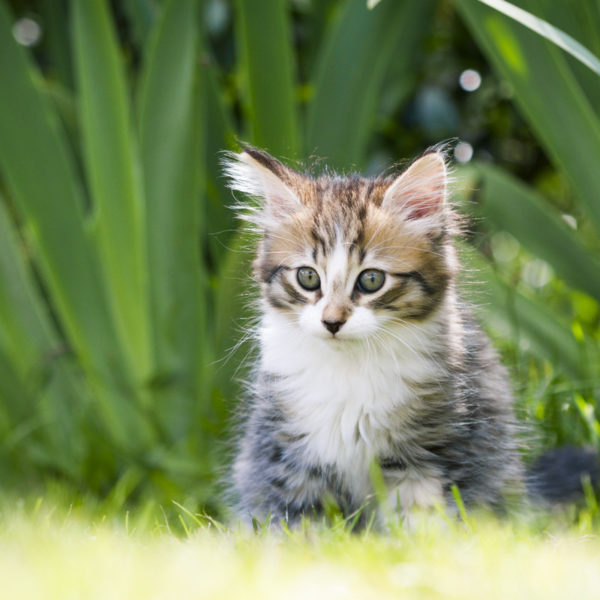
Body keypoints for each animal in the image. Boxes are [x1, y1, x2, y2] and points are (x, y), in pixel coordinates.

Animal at [223, 145, 524, 524]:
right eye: (308, 277)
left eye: (371, 280)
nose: (332, 322)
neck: (348, 370)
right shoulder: (288, 456)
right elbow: (300, 524)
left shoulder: (426, 452)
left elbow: (421, 521)